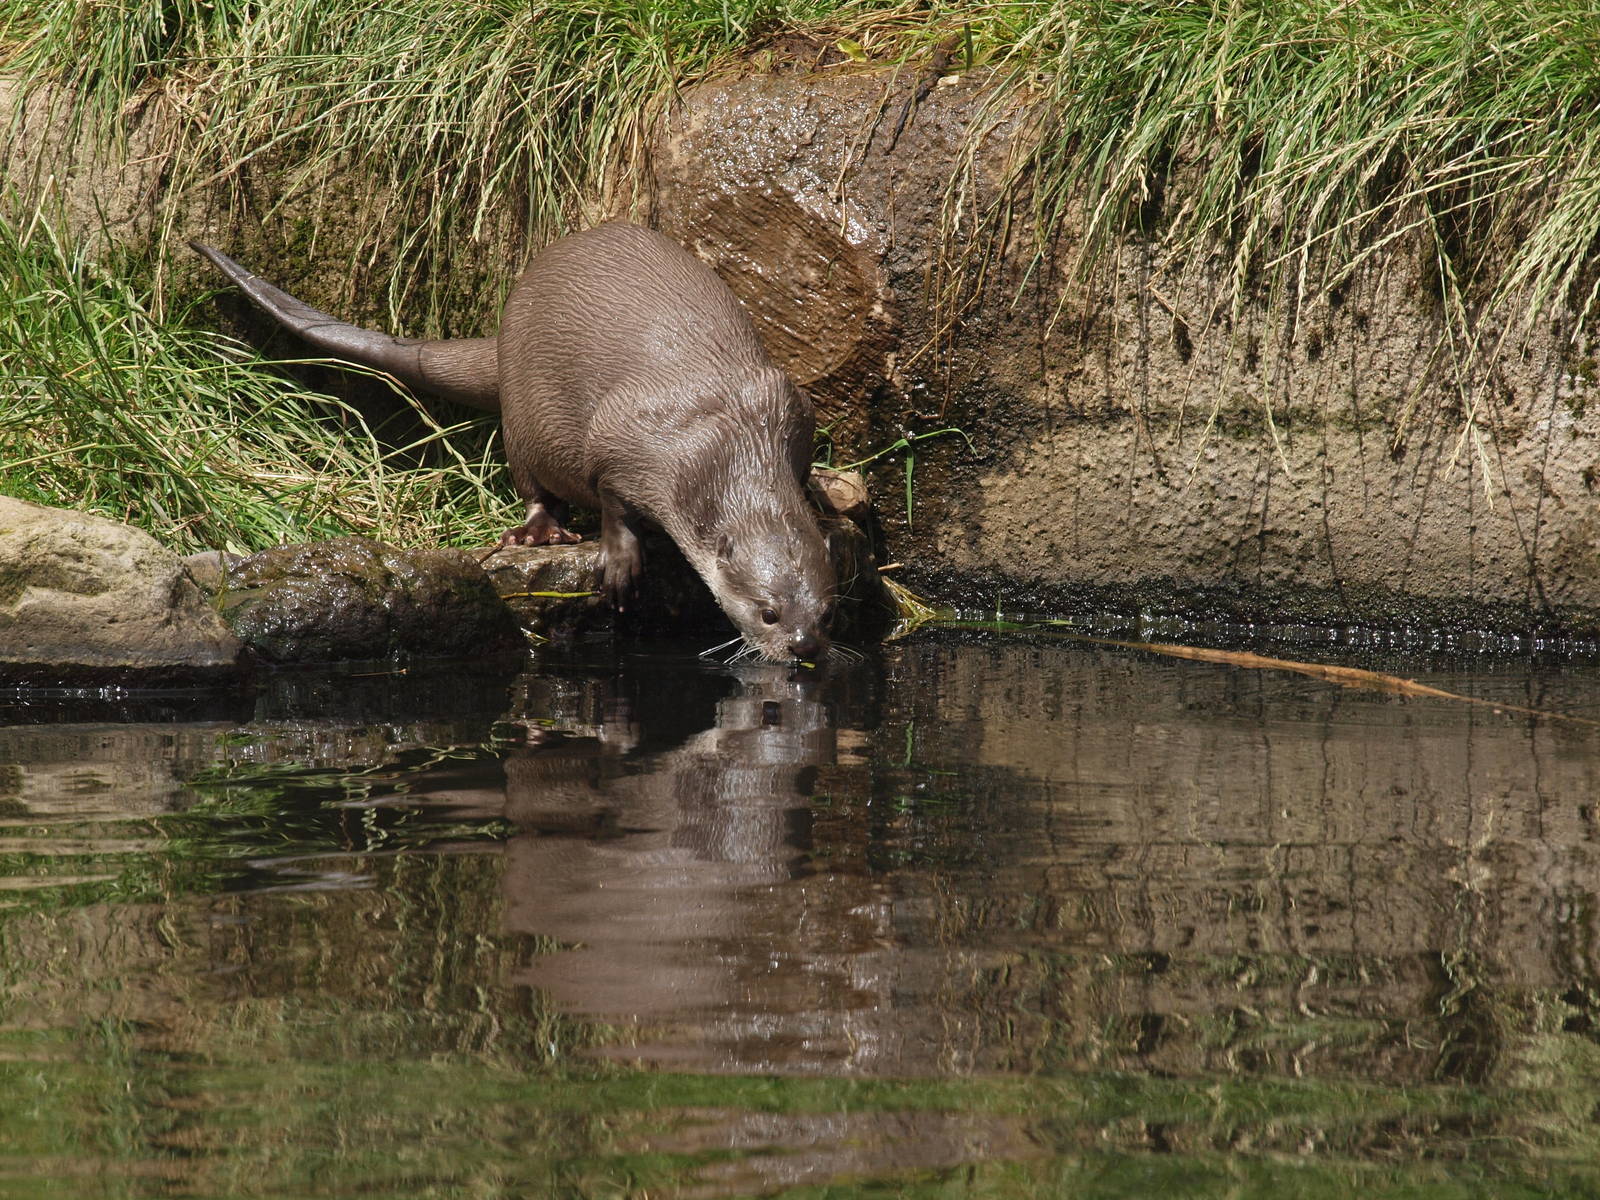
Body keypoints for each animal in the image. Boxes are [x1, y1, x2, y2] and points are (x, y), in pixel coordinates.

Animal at [191, 224, 835, 663]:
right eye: (768, 613)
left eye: (827, 608)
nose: (804, 645)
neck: (728, 441)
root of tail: (501, 334)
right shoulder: (627, 442)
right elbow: (612, 502)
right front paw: (621, 562)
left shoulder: (788, 409)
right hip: (525, 415)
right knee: (529, 478)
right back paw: (539, 530)